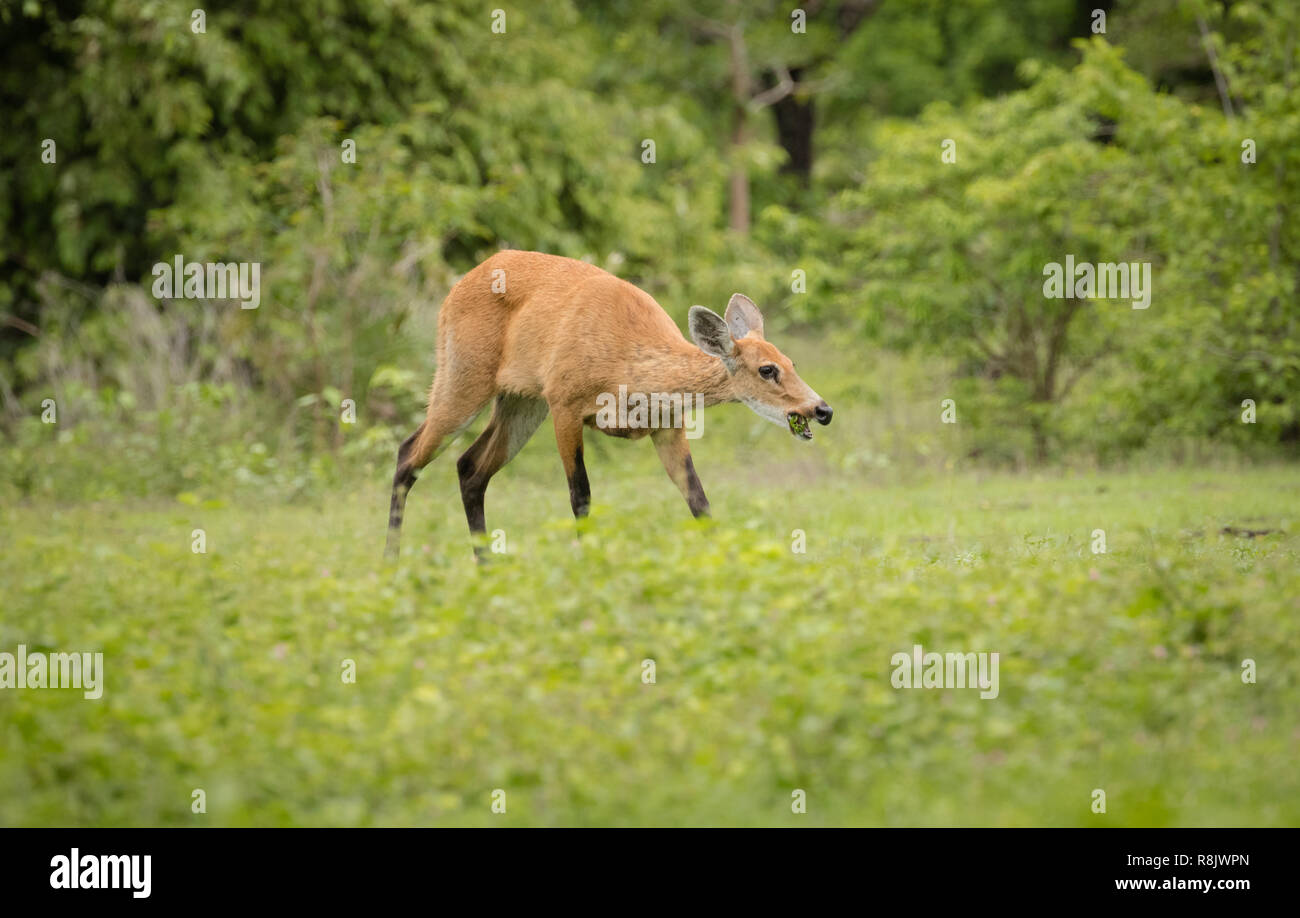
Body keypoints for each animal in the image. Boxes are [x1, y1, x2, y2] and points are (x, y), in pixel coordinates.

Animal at [384, 247, 832, 553]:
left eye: (791, 362)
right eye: (767, 370)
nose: (822, 409)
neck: (629, 371)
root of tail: (458, 285)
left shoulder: (667, 427)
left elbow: (700, 502)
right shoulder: (565, 403)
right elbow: (580, 497)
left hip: (522, 402)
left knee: (470, 467)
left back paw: (485, 567)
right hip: (464, 376)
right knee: (408, 453)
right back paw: (392, 562)